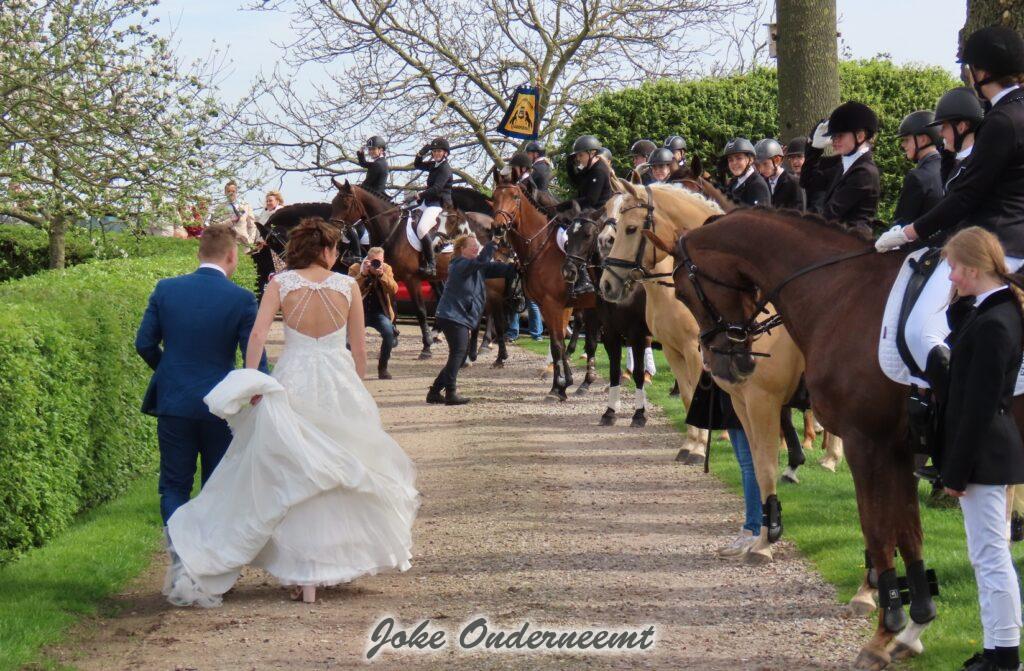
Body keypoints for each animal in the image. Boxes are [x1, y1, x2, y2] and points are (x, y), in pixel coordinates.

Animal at [490, 173, 600, 400]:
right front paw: (563, 384)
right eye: (494, 197)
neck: (540, 246)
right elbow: (557, 342)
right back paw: (586, 381)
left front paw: (558, 387)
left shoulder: (554, 305)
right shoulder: (548, 306)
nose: (499, 227)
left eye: (515, 197)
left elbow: (557, 344)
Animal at [562, 209, 653, 427]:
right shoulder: (611, 332)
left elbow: (638, 372)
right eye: (568, 234)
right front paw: (610, 412)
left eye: (587, 235)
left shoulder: (637, 334)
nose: (569, 271)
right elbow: (613, 370)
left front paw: (639, 414)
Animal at [659, 207, 976, 669]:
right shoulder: (898, 448)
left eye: (683, 291)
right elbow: (908, 533)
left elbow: (876, 529)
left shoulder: (867, 443)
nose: (724, 364)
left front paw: (885, 629)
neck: (844, 293)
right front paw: (913, 627)